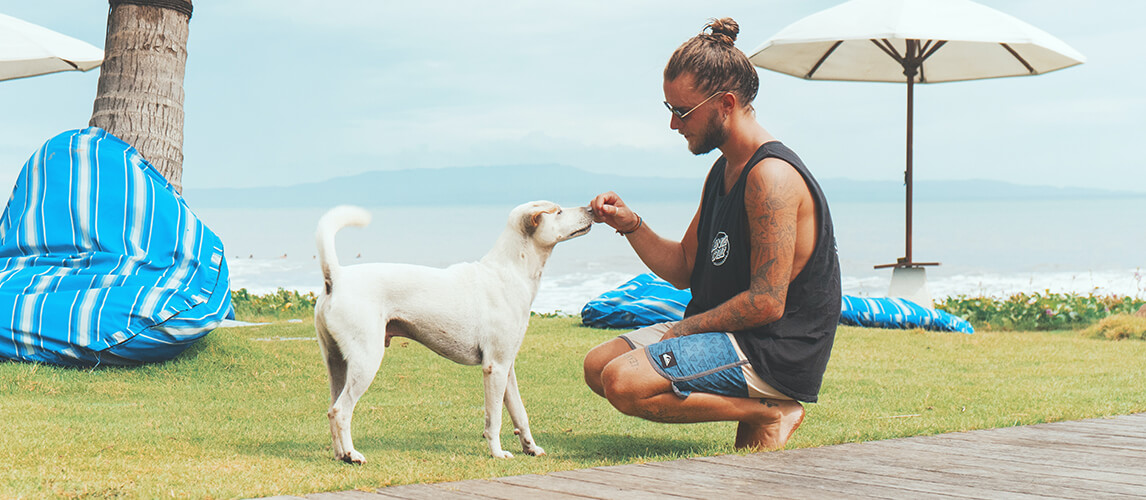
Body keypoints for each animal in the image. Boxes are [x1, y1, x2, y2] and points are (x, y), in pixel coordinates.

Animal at [314, 200, 591, 465]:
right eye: (558, 211)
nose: (590, 208)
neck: (508, 273)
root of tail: (335, 279)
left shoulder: (507, 367)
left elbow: (520, 413)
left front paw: (530, 448)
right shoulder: (494, 368)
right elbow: (494, 419)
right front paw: (497, 453)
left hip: (337, 363)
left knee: (330, 408)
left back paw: (340, 455)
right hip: (366, 360)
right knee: (341, 410)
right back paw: (352, 455)